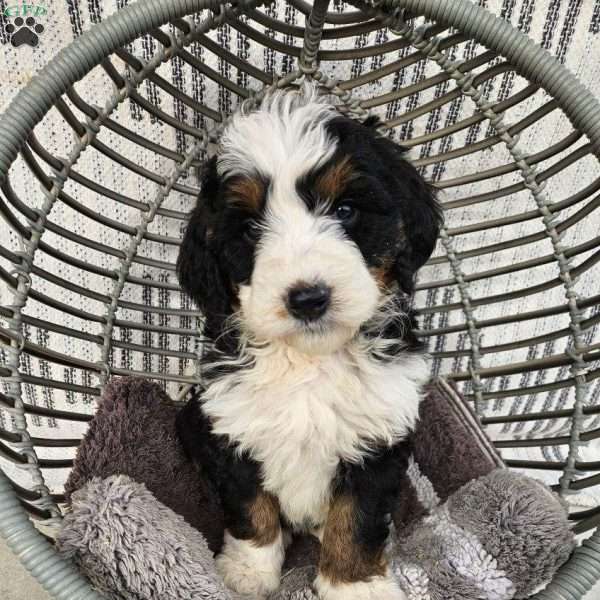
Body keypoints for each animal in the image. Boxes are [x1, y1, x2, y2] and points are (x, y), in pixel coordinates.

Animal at [176, 85, 442, 600]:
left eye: (345, 210)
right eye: (249, 229)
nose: (308, 298)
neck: (309, 360)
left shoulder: (377, 439)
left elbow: (356, 518)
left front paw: (356, 584)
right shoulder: (233, 427)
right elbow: (250, 505)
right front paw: (248, 571)